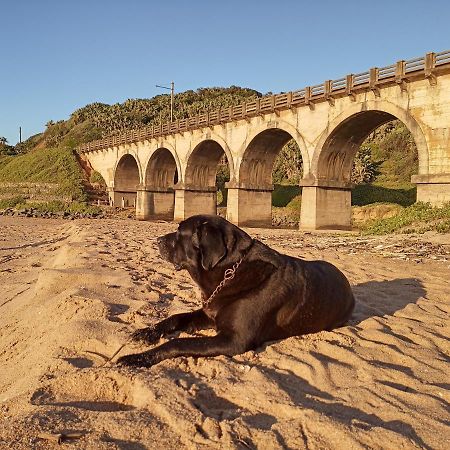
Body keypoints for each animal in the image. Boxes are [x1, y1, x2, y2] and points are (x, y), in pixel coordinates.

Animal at [117, 216, 356, 368]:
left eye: (179, 232)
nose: (157, 240)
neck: (228, 271)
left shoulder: (234, 339)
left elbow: (178, 342)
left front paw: (137, 359)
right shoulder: (209, 313)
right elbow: (175, 318)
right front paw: (146, 332)